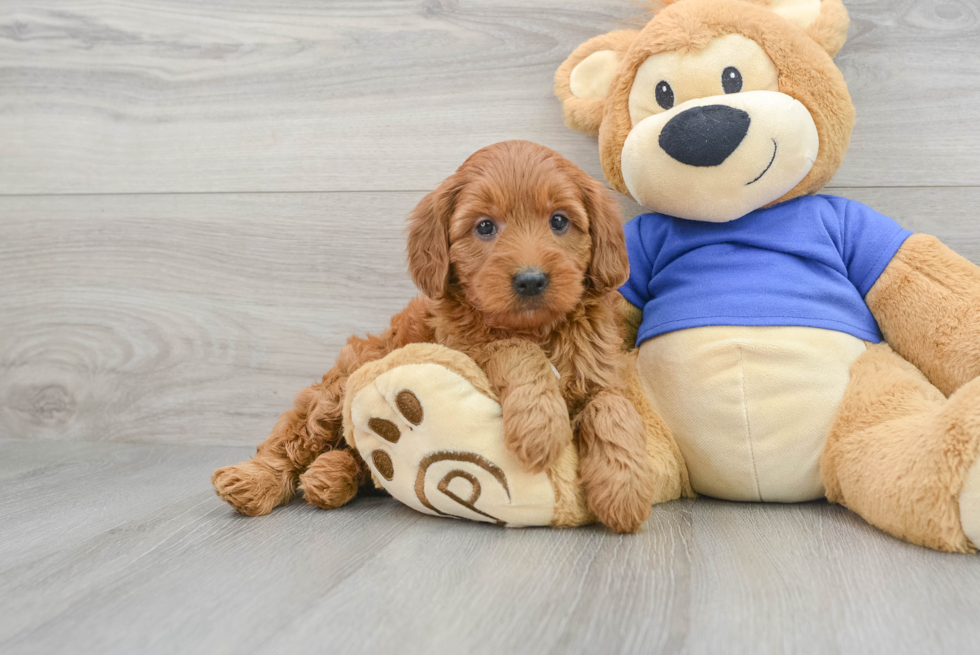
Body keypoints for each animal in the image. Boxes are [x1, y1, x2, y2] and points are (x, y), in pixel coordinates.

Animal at [214, 142, 660, 532]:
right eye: (485, 227)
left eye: (559, 221)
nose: (531, 280)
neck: (536, 328)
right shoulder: (464, 348)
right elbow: (514, 348)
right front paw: (540, 426)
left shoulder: (600, 373)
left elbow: (613, 408)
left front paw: (623, 490)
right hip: (337, 389)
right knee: (291, 439)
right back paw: (251, 481)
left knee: (358, 460)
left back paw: (330, 476)